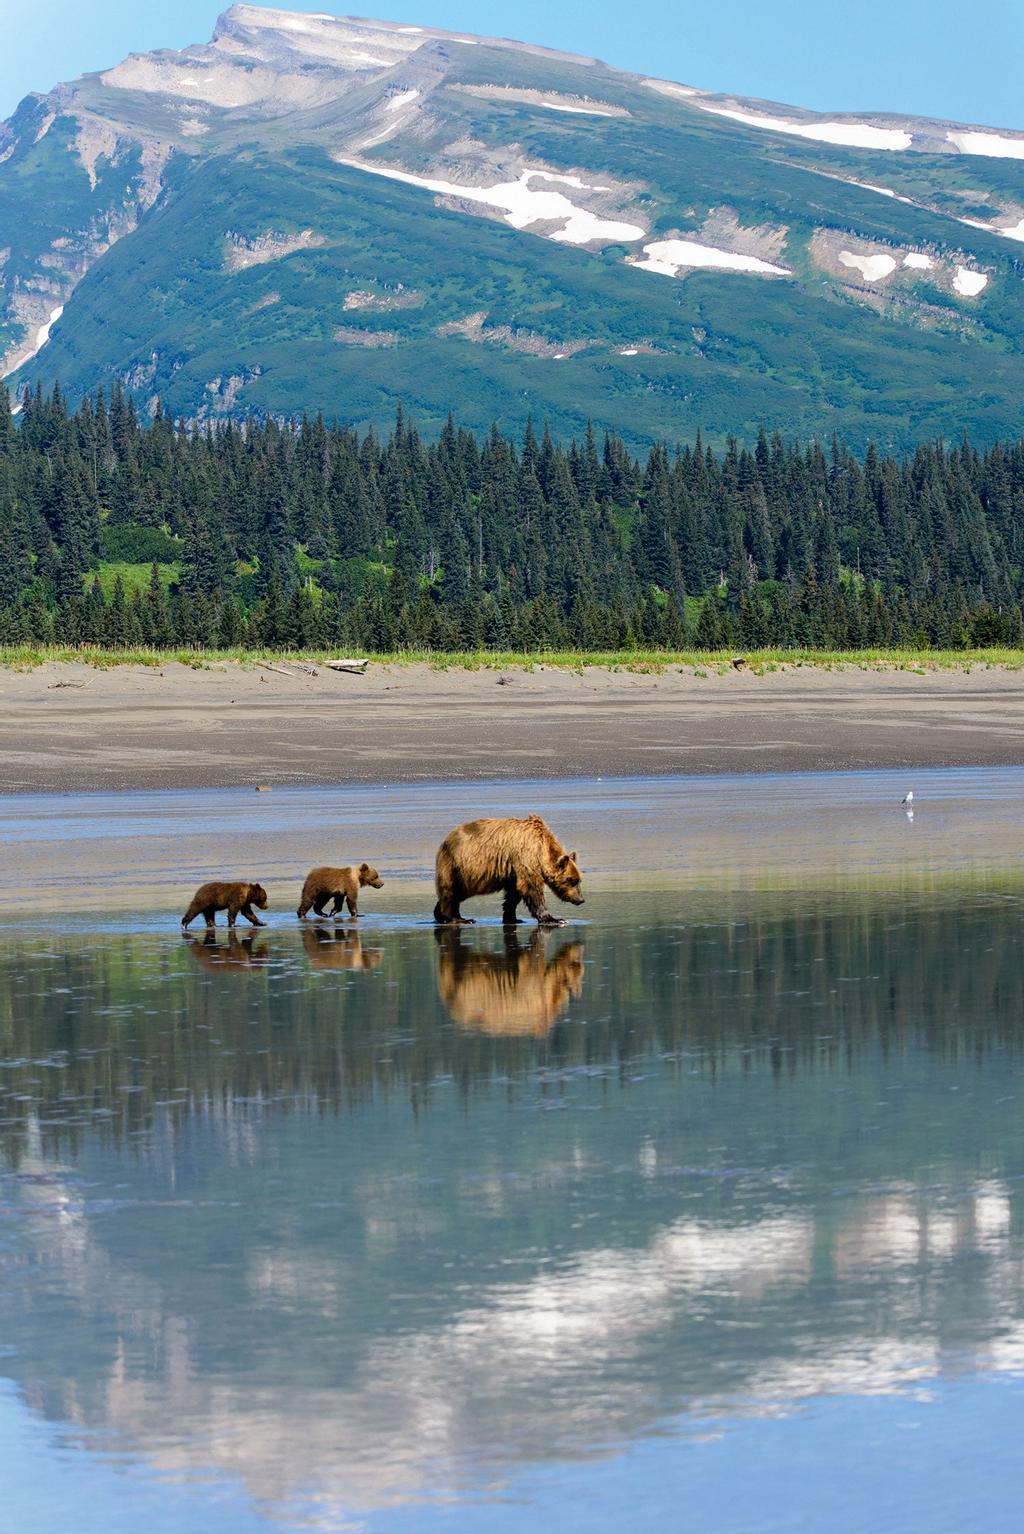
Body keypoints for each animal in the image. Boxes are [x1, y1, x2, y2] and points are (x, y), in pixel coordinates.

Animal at [433, 813, 584, 926]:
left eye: (579, 880)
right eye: (571, 880)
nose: (580, 899)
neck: (542, 849)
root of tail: (445, 840)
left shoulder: (513, 871)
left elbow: (514, 893)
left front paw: (512, 918)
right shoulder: (525, 857)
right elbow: (531, 887)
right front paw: (555, 919)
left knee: (456, 894)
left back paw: (441, 915)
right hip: (457, 865)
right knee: (451, 892)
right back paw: (459, 919)